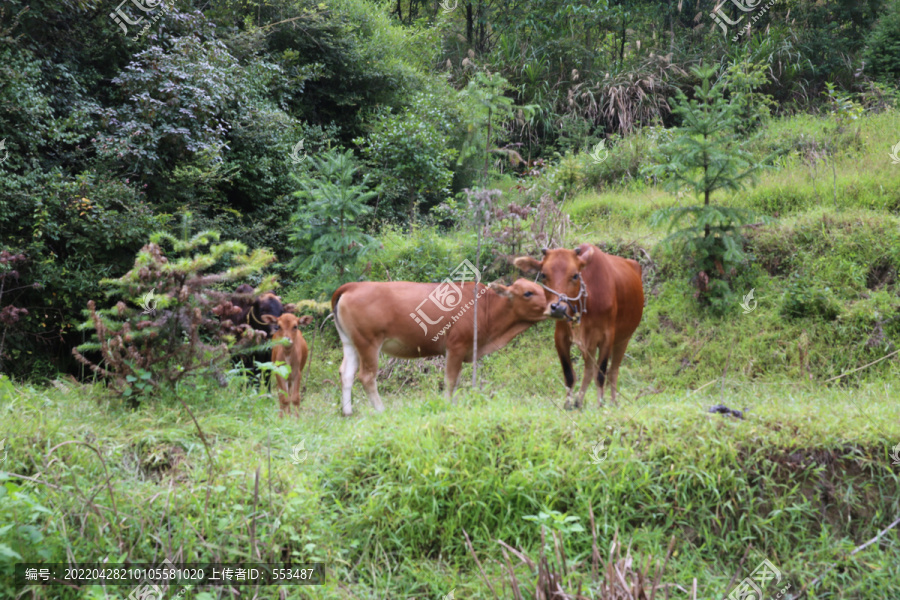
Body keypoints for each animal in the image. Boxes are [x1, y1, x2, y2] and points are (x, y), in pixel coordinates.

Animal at [332, 278, 548, 414]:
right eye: (528, 293)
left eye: (543, 290)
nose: (555, 306)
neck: (485, 306)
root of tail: (352, 286)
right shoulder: (456, 346)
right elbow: (450, 380)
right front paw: (447, 405)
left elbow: (456, 380)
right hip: (368, 342)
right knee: (366, 376)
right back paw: (380, 410)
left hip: (350, 342)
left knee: (346, 373)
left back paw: (348, 411)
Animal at [512, 244, 640, 408]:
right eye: (543, 275)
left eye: (575, 276)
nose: (557, 308)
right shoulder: (561, 337)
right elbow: (569, 375)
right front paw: (568, 404)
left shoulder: (607, 337)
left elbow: (601, 374)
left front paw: (600, 404)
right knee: (589, 370)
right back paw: (579, 402)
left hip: (624, 338)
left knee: (612, 371)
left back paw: (612, 401)